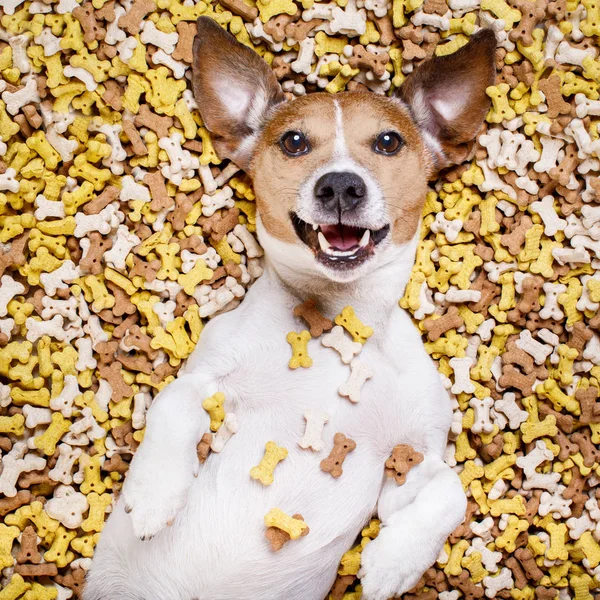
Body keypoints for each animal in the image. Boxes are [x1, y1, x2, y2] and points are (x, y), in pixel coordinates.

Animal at [84, 18, 496, 600]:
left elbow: (452, 489)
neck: (339, 318)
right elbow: (173, 401)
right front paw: (154, 494)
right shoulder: (206, 374)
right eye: (294, 141)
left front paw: (393, 562)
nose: (341, 184)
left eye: (388, 141)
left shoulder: (412, 457)